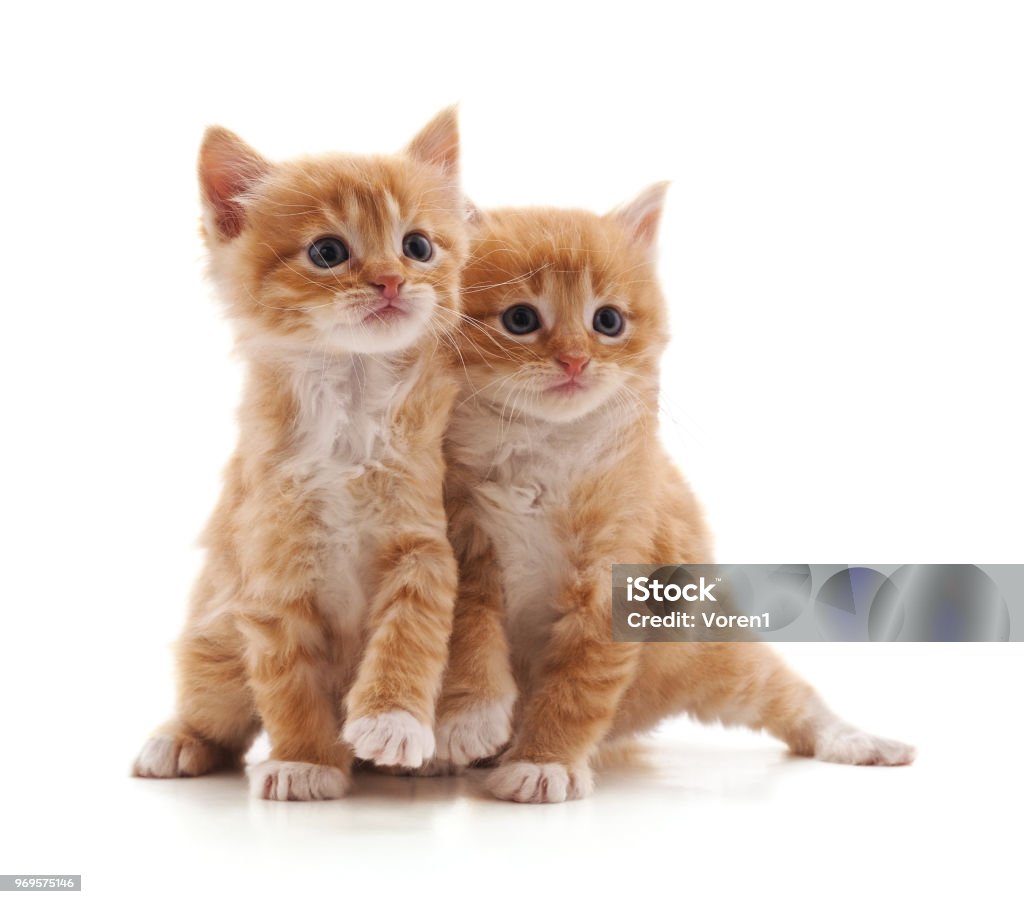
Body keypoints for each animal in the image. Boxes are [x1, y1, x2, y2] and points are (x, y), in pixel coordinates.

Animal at [134, 111, 468, 798]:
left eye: (418, 246)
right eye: (328, 253)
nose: (392, 280)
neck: (350, 403)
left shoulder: (422, 546)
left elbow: (410, 635)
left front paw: (393, 721)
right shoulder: (269, 578)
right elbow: (288, 684)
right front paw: (306, 762)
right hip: (214, 653)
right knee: (213, 714)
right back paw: (177, 741)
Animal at [430, 187, 913, 802]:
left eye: (608, 321)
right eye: (520, 319)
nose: (575, 360)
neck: (544, 454)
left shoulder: (616, 582)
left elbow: (577, 687)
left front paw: (545, 763)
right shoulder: (467, 542)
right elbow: (470, 636)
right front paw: (468, 720)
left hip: (709, 658)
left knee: (789, 695)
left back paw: (859, 741)